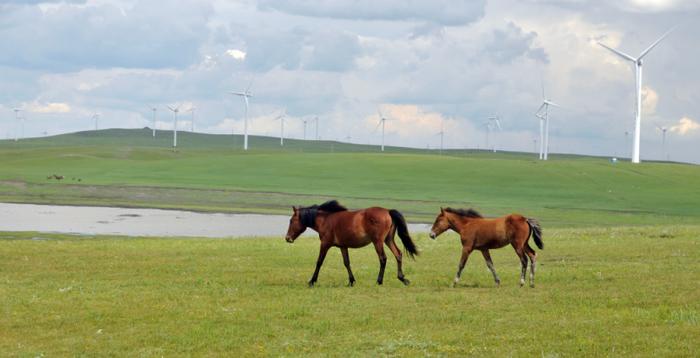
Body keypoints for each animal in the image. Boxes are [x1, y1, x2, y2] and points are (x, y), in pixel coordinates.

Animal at [284, 200, 416, 286]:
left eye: (291, 221)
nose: (287, 238)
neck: (325, 220)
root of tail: (388, 211)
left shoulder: (325, 244)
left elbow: (319, 262)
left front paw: (312, 281)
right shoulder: (343, 246)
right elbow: (347, 263)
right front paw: (351, 281)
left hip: (378, 242)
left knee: (383, 258)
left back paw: (379, 281)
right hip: (388, 240)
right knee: (398, 254)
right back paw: (402, 278)